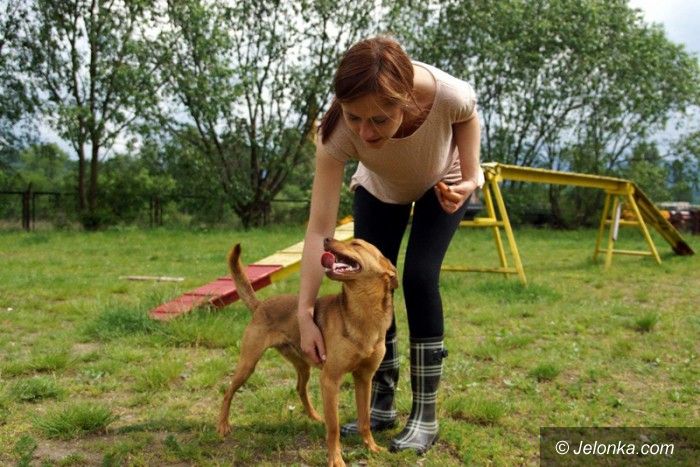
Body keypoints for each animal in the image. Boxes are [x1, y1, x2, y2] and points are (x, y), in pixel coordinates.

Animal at [217, 238, 398, 467]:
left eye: (356, 244)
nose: (326, 239)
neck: (363, 313)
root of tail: (260, 305)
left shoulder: (364, 379)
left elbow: (364, 419)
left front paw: (372, 447)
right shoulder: (330, 380)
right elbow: (334, 427)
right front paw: (336, 459)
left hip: (303, 366)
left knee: (299, 388)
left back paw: (314, 416)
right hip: (248, 365)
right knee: (228, 392)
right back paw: (223, 425)